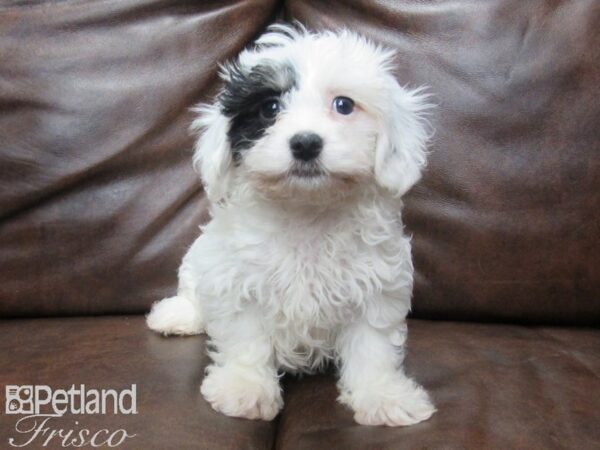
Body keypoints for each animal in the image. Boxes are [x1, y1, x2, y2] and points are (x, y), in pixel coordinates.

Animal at [145, 23, 436, 426]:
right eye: (269, 108)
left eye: (344, 105)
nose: (306, 143)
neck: (305, 212)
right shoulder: (237, 280)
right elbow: (245, 337)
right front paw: (245, 388)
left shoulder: (376, 287)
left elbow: (372, 346)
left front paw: (383, 395)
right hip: (200, 256)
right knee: (193, 291)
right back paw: (177, 314)